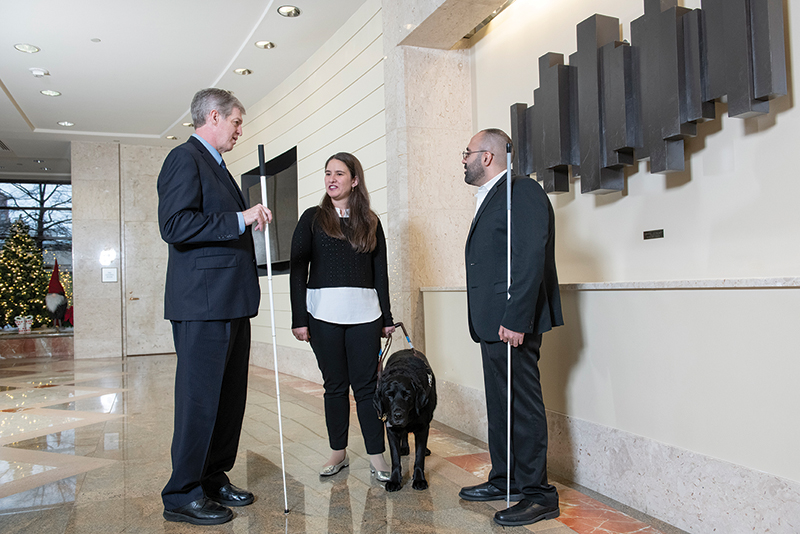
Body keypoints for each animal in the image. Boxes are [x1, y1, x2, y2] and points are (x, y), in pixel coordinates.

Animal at [376, 348, 438, 494]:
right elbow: (395, 458)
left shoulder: (422, 428)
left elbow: (419, 457)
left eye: (407, 395)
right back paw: (404, 447)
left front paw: (419, 479)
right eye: (389, 395)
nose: (398, 415)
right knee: (404, 434)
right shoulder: (391, 430)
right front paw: (394, 481)